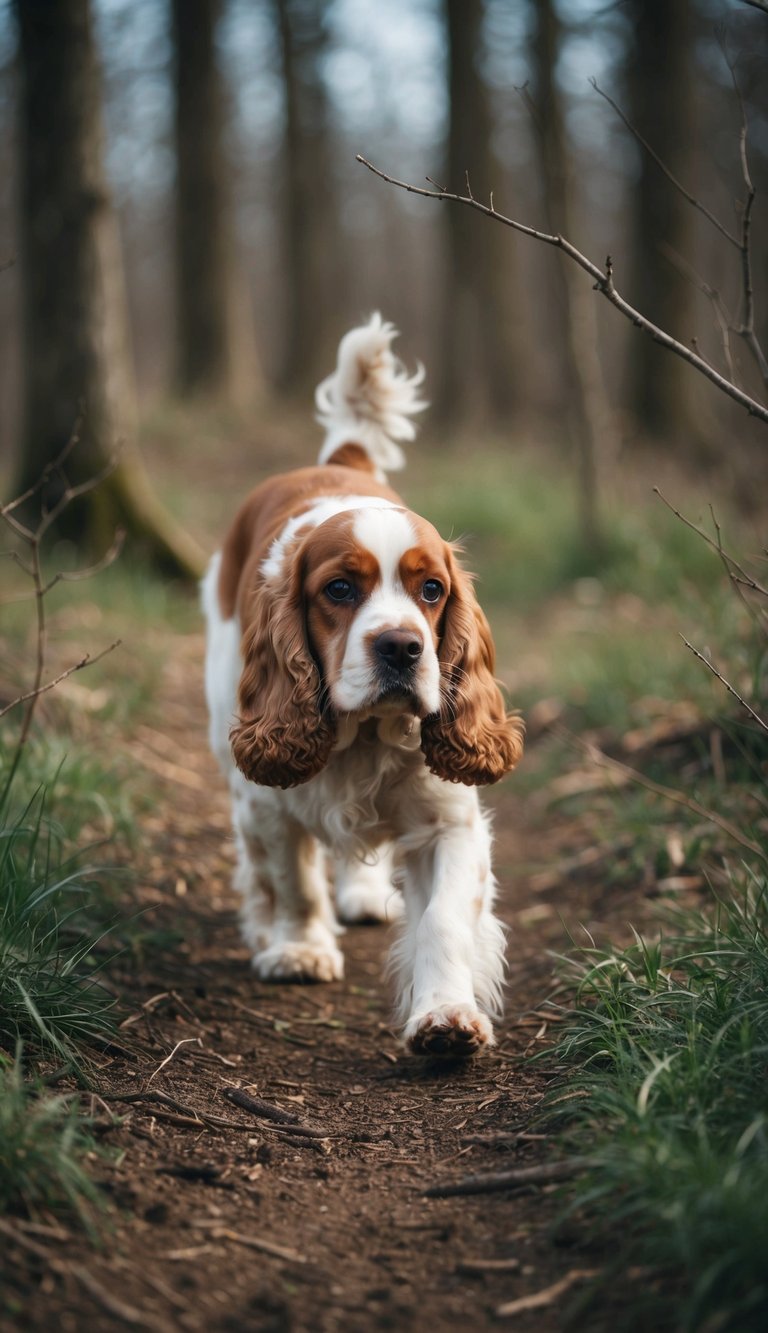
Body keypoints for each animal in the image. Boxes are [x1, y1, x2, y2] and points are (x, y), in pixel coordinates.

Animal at [202, 314, 523, 1056]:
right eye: (340, 590)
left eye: (432, 589)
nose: (402, 647)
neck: (365, 734)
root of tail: (338, 462)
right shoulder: (265, 799)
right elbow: (292, 880)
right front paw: (298, 949)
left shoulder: (450, 822)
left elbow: (443, 921)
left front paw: (445, 1016)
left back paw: (368, 891)